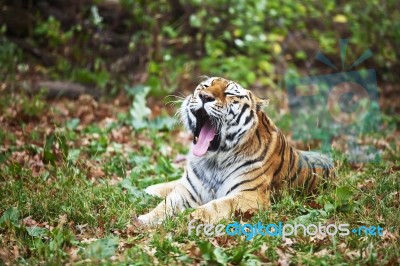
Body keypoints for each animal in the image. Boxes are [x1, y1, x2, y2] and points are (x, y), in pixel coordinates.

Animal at [138, 76, 334, 224]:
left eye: (229, 93)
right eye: (205, 86)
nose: (204, 96)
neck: (213, 160)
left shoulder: (249, 195)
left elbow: (217, 205)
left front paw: (192, 217)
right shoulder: (187, 190)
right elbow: (166, 204)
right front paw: (145, 219)